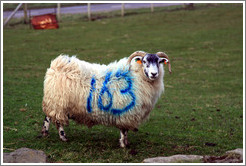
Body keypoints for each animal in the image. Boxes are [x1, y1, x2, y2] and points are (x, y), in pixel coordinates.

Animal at [40, 51, 171, 148]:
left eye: (159, 62)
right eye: (144, 61)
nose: (154, 74)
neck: (136, 76)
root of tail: (56, 65)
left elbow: (126, 130)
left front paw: (126, 143)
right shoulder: (125, 111)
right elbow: (124, 130)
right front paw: (123, 145)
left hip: (55, 101)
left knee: (48, 117)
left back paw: (45, 133)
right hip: (58, 102)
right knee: (56, 120)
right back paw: (63, 137)